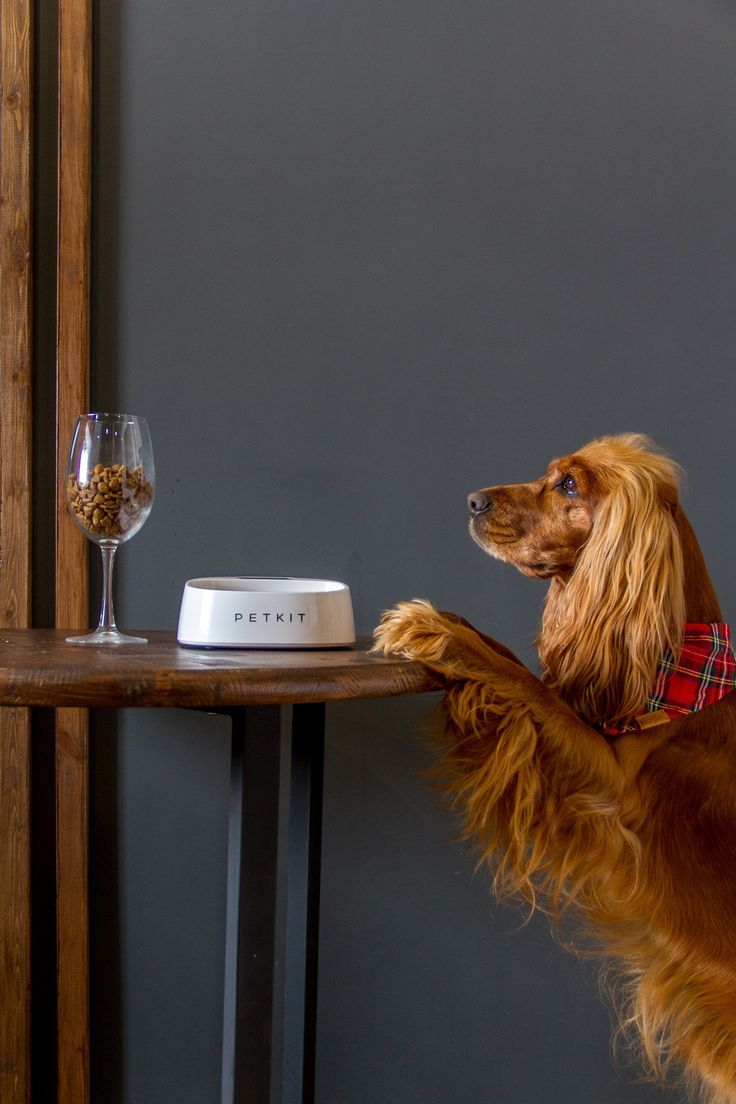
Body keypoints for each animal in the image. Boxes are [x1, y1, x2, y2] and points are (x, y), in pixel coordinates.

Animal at [377, 432, 736, 1104]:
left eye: (569, 484)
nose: (473, 500)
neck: (678, 660)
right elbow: (515, 663)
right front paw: (453, 626)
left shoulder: (610, 780)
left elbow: (526, 685)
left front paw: (429, 629)